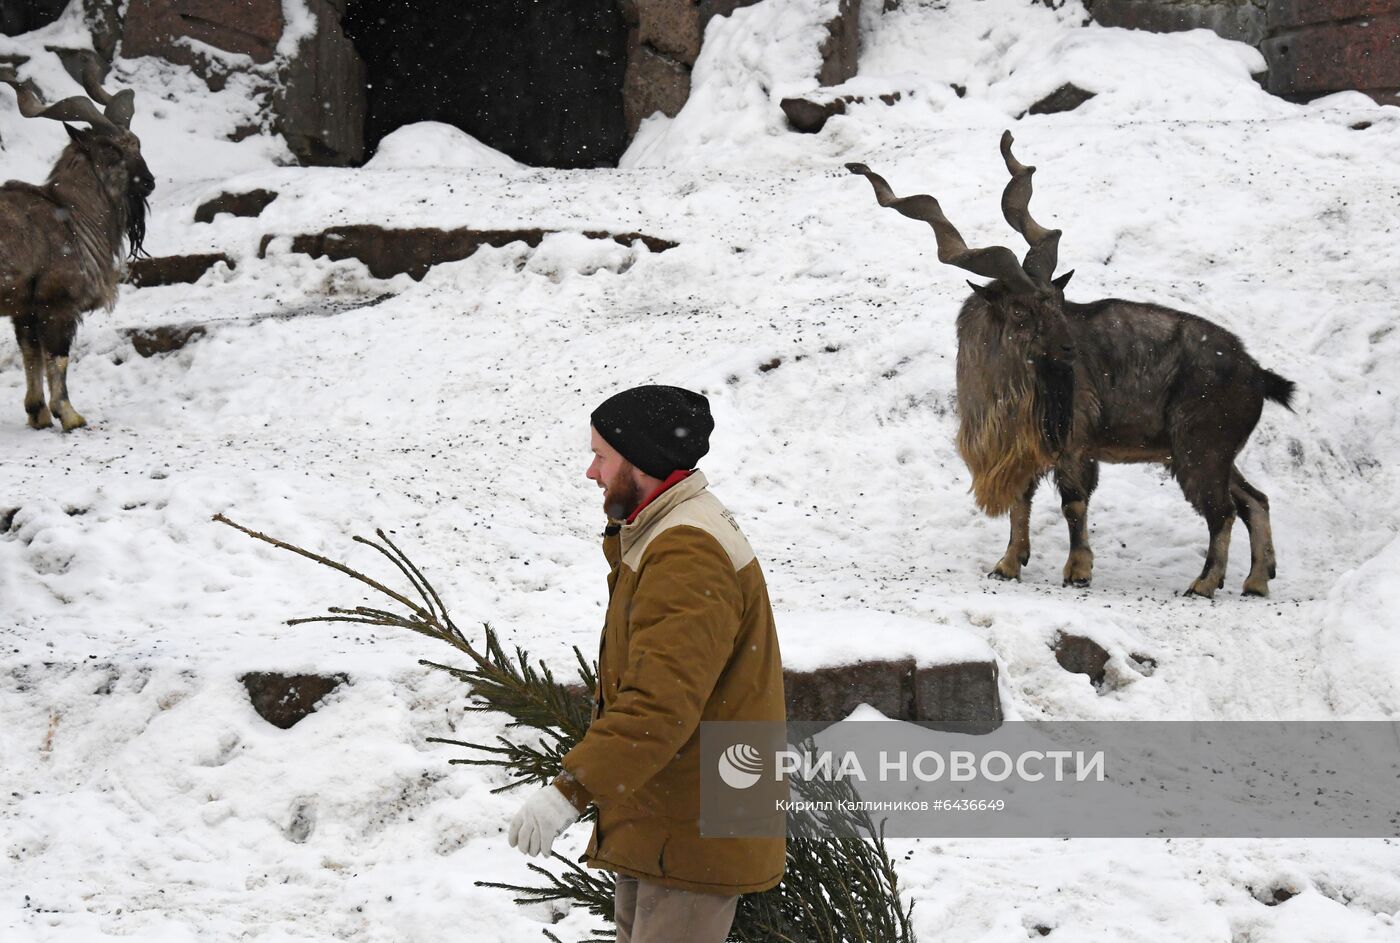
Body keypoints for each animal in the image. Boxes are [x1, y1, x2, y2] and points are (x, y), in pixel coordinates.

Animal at [0, 60, 154, 436]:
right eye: (111, 150)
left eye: (137, 143)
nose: (148, 182)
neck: (72, 215)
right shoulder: (57, 303)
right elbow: (58, 356)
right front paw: (70, 415)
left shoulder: (24, 308)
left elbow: (31, 354)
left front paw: (37, 413)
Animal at [840, 132, 1288, 596]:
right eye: (1020, 310)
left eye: (1057, 300)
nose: (1070, 349)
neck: (1007, 392)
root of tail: (1257, 374)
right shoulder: (1022, 452)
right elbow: (1020, 503)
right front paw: (1007, 564)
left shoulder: (1074, 444)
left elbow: (1074, 503)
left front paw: (1077, 570)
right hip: (1212, 452)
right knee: (1254, 500)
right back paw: (1256, 581)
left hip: (1199, 448)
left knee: (1223, 511)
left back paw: (1204, 583)